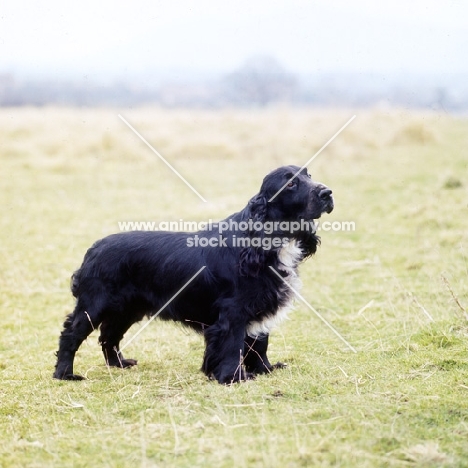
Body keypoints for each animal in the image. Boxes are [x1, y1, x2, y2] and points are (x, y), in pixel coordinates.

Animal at [54, 165, 332, 384]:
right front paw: (232, 377)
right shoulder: (233, 311)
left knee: (109, 335)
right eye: (290, 183)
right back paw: (65, 374)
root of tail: (94, 248)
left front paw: (265, 369)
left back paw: (118, 364)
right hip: (95, 304)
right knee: (71, 334)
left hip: (127, 308)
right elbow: (233, 344)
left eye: (309, 174)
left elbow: (259, 343)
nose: (327, 193)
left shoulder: (260, 303)